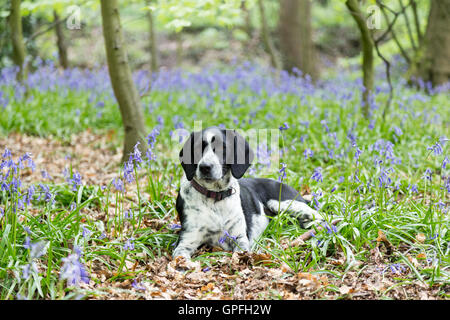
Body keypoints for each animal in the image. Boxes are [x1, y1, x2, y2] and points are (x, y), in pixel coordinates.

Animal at [172, 126, 324, 258]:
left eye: (222, 147)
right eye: (197, 148)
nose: (205, 167)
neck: (215, 197)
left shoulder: (238, 237)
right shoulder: (187, 240)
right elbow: (180, 256)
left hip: (284, 204)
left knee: (322, 216)